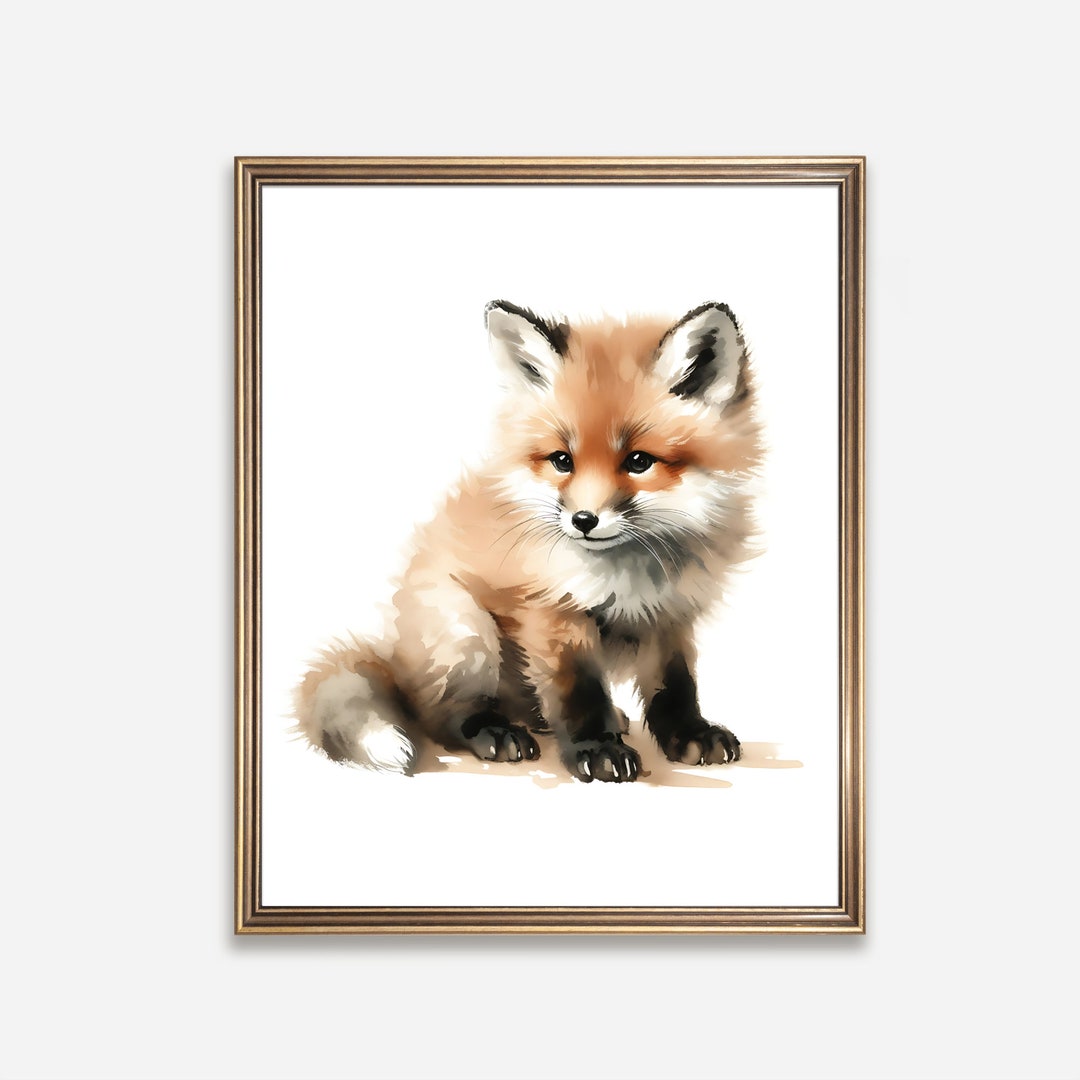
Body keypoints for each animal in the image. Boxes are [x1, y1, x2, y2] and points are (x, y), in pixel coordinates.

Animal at [296, 300, 763, 783]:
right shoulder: (553, 611)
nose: (583, 520)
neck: (629, 576)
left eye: (638, 461)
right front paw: (596, 748)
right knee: (441, 716)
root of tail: (397, 659)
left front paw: (690, 734)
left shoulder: (672, 616)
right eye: (562, 460)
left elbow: (675, 687)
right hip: (466, 633)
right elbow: (578, 694)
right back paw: (495, 733)